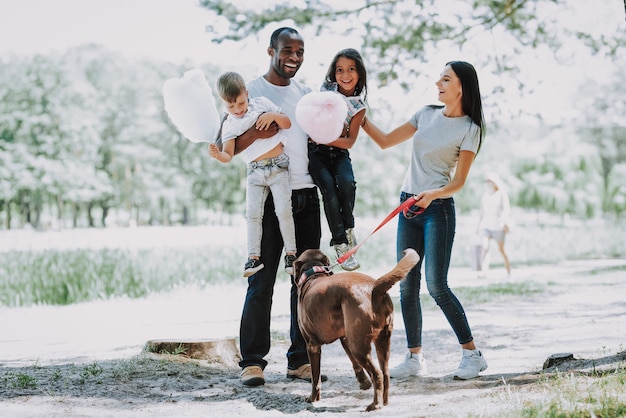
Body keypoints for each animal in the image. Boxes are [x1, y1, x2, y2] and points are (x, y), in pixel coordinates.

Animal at [294, 247, 420, 410]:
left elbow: (316, 378)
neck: (314, 274)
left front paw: (312, 398)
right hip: (381, 341)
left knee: (377, 374)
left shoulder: (312, 345)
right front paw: (364, 382)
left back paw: (375, 404)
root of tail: (374, 287)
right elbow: (354, 362)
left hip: (359, 347)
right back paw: (384, 401)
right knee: (385, 374)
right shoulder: (345, 338)